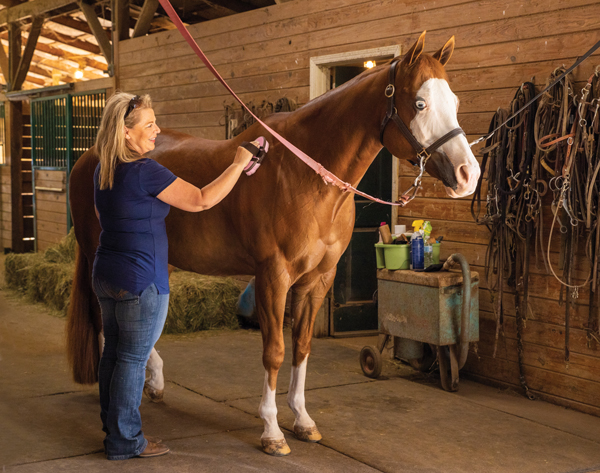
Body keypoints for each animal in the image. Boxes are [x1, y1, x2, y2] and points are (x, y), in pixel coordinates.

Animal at [67, 32, 478, 454]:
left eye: (455, 102)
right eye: (419, 103)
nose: (468, 175)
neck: (305, 176)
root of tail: (91, 156)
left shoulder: (318, 281)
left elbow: (302, 347)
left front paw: (303, 420)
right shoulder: (273, 276)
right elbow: (275, 351)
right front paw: (271, 431)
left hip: (159, 261)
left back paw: (154, 383)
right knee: (107, 324)